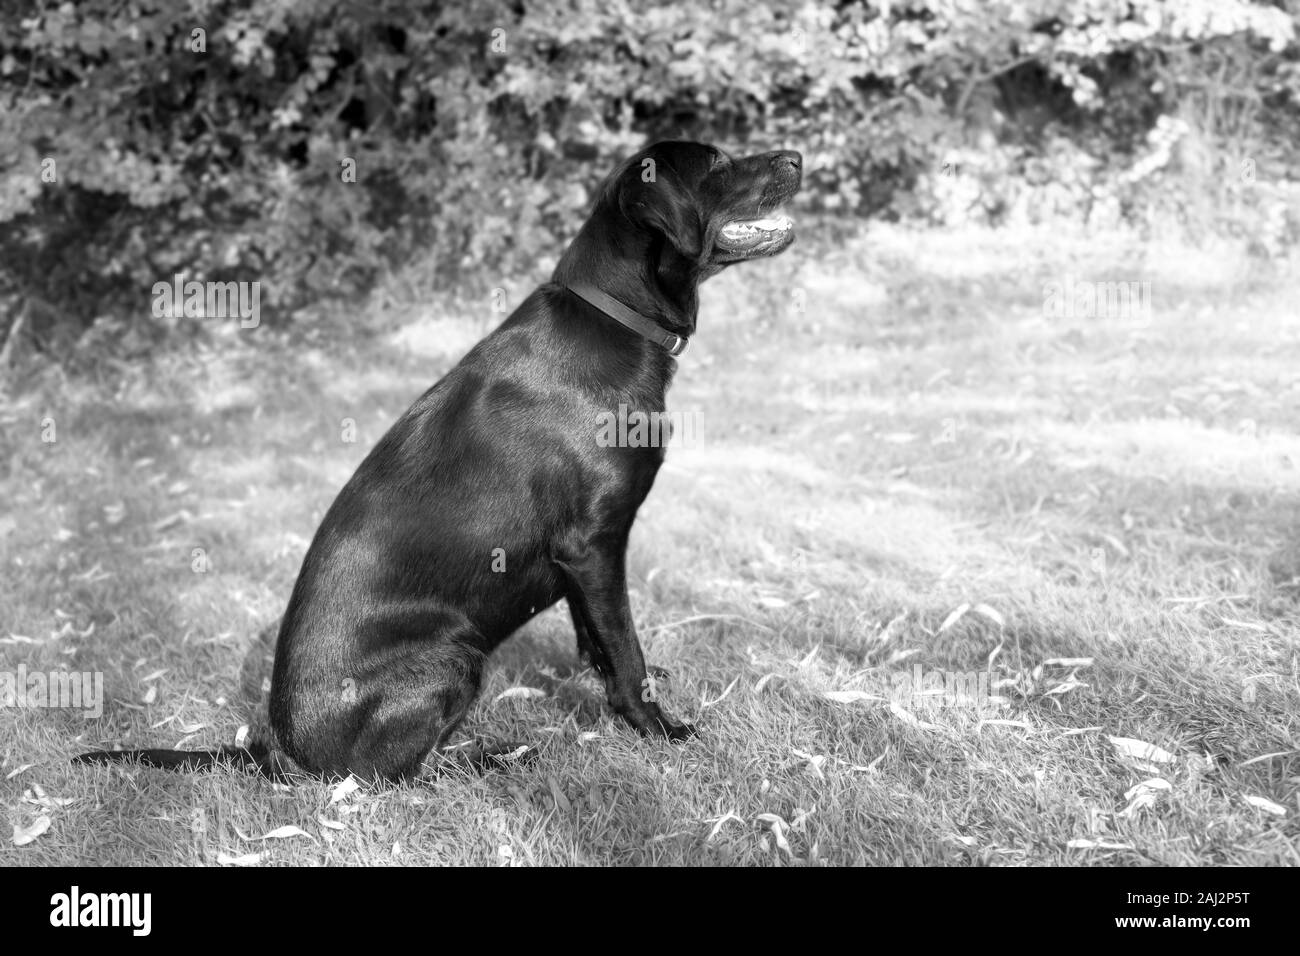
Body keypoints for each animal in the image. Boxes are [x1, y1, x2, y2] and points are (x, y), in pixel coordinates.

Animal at [78, 143, 800, 785]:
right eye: (717, 163)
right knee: (393, 775)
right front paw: (660, 730)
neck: (616, 317)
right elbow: (624, 650)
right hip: (456, 654)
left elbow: (594, 641)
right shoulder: (595, 544)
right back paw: (498, 757)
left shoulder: (581, 559)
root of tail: (275, 750)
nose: (795, 157)